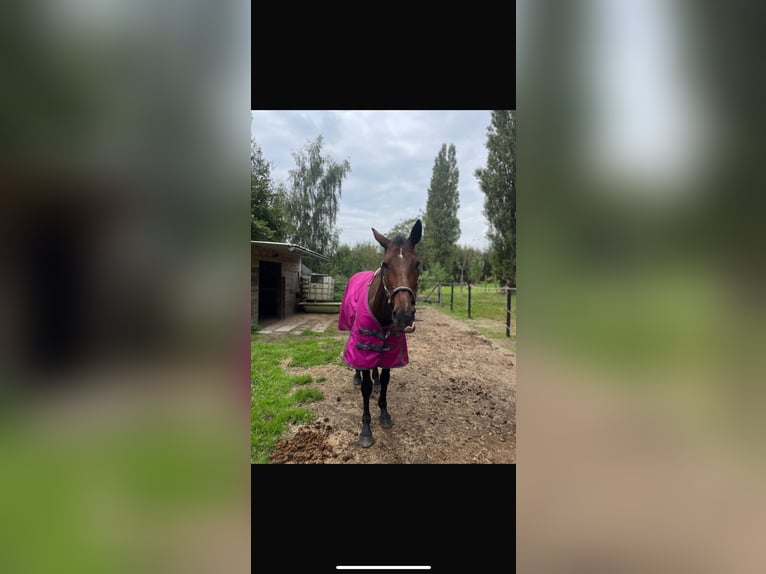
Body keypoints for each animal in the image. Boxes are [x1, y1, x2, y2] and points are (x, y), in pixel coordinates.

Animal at [337, 219, 422, 447]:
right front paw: (366, 428)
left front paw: (384, 413)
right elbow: (365, 387)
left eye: (417, 264)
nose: (404, 316)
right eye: (385, 264)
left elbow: (385, 380)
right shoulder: (364, 343)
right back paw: (356, 376)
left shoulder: (391, 350)